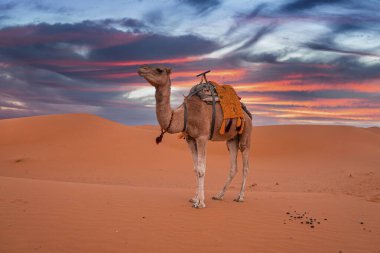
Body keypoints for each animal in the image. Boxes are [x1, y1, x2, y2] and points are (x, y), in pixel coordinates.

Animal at [137, 64, 252, 208]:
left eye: (159, 70)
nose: (141, 69)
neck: (185, 115)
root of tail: (246, 112)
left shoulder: (202, 137)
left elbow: (201, 169)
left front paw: (200, 203)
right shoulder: (190, 139)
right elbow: (195, 169)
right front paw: (194, 198)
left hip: (246, 133)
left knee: (245, 166)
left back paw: (240, 197)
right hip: (231, 139)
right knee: (233, 167)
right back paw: (219, 195)